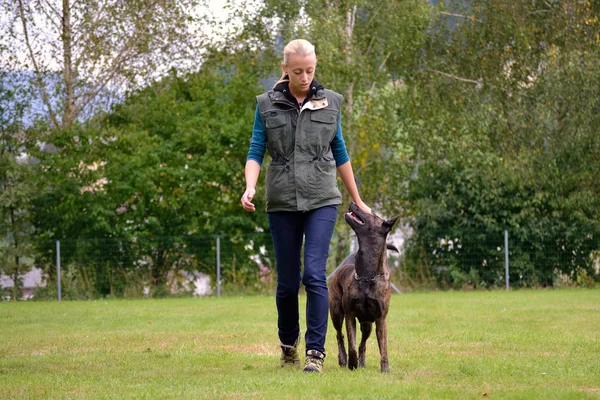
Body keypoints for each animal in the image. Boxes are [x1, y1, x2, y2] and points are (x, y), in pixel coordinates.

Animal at [328, 202, 398, 374]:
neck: (367, 275)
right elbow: (351, 344)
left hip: (367, 325)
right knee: (340, 336)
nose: (353, 203)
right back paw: (343, 359)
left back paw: (363, 362)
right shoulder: (350, 315)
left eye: (372, 215)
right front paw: (352, 363)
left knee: (363, 344)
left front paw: (385, 368)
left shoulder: (380, 319)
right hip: (336, 313)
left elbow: (383, 347)